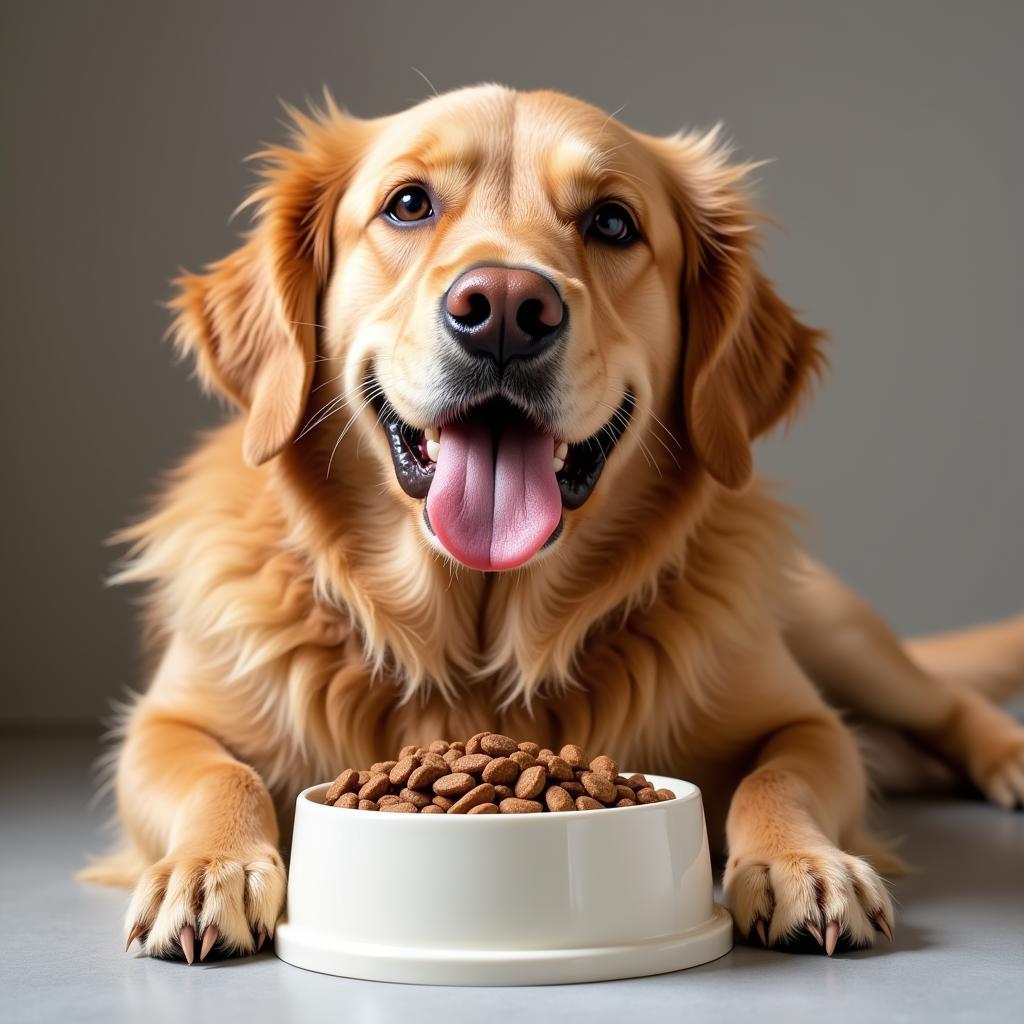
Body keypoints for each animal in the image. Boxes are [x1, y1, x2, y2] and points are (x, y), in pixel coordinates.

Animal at [79, 83, 1024, 962]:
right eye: (409, 203)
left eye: (612, 221)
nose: (503, 305)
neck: (477, 642)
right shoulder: (165, 723)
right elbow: (218, 774)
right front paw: (212, 867)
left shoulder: (803, 720)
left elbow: (780, 778)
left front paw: (804, 862)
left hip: (838, 631)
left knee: (944, 702)